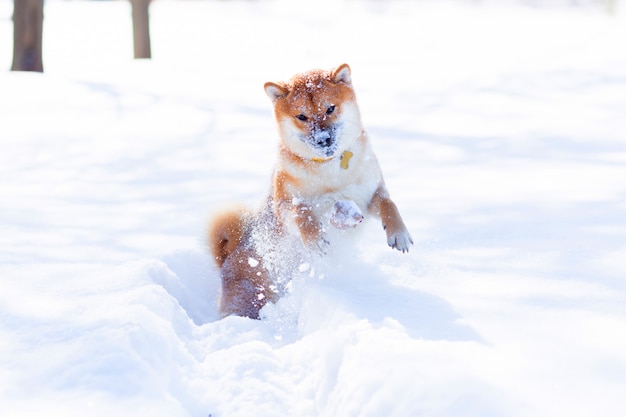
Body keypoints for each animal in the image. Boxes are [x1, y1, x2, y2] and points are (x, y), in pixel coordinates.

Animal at [207, 63, 412, 316]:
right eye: (301, 116)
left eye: (330, 108)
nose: (323, 139)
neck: (330, 172)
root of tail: (225, 260)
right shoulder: (283, 204)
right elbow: (302, 212)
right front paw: (315, 238)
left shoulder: (370, 195)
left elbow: (388, 204)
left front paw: (399, 234)